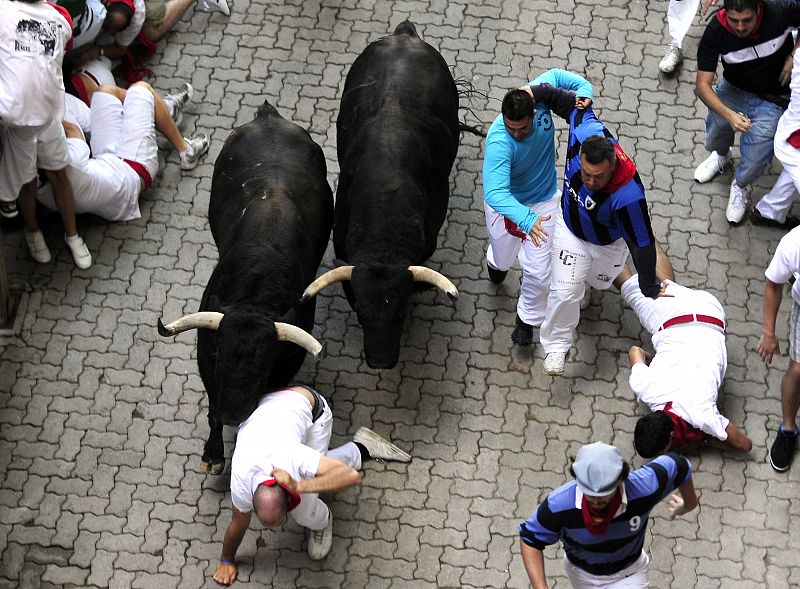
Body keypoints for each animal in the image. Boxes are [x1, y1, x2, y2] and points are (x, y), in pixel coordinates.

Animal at [158, 103, 332, 474]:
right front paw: (212, 454)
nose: (232, 415)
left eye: (263, 365)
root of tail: (268, 115)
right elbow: (211, 407)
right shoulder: (206, 355)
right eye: (222, 358)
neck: (255, 296)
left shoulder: (287, 361)